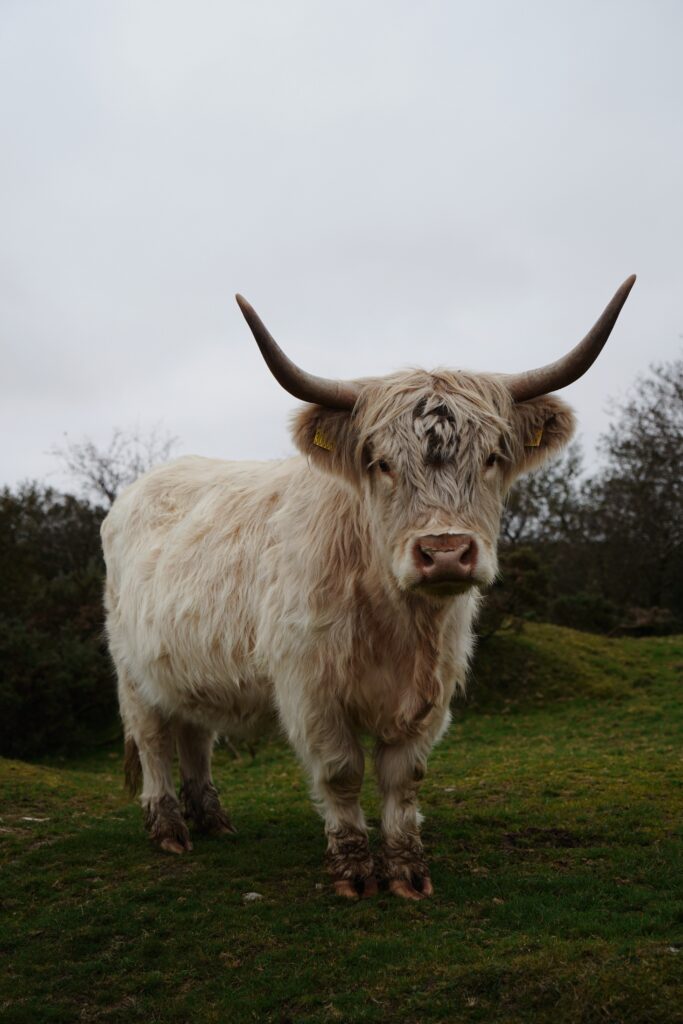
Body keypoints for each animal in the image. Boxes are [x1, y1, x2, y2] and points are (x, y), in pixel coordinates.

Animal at [101, 275, 635, 900]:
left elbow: (404, 777)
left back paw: (213, 819)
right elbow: (342, 772)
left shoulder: (432, 690)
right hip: (132, 671)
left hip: (188, 667)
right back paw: (168, 828)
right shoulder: (310, 687)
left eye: (493, 457)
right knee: (155, 741)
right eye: (380, 462)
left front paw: (406, 869)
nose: (445, 552)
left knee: (194, 737)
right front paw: (354, 869)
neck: (396, 622)